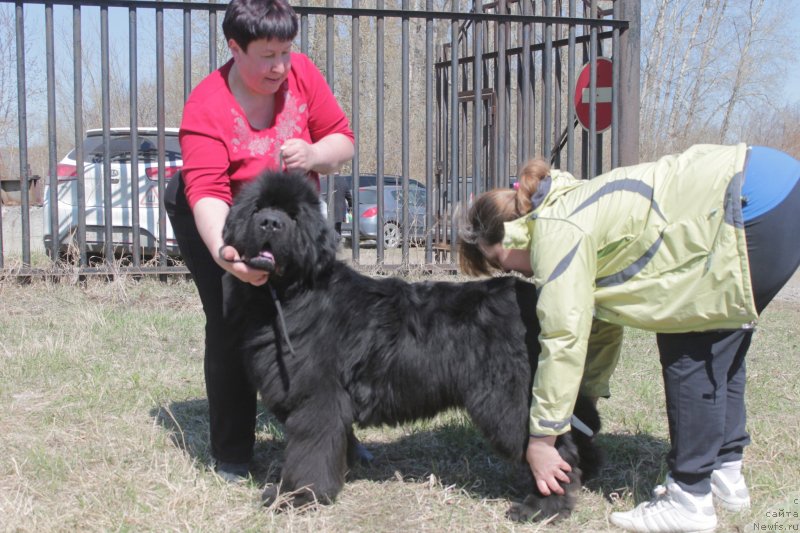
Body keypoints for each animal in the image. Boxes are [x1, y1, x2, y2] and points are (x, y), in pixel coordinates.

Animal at [220, 170, 600, 520]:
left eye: (294, 215)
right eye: (257, 208)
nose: (270, 223)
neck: (292, 292)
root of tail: (528, 296)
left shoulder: (317, 398)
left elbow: (307, 451)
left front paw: (297, 496)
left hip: (507, 397)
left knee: (552, 449)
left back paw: (543, 506)